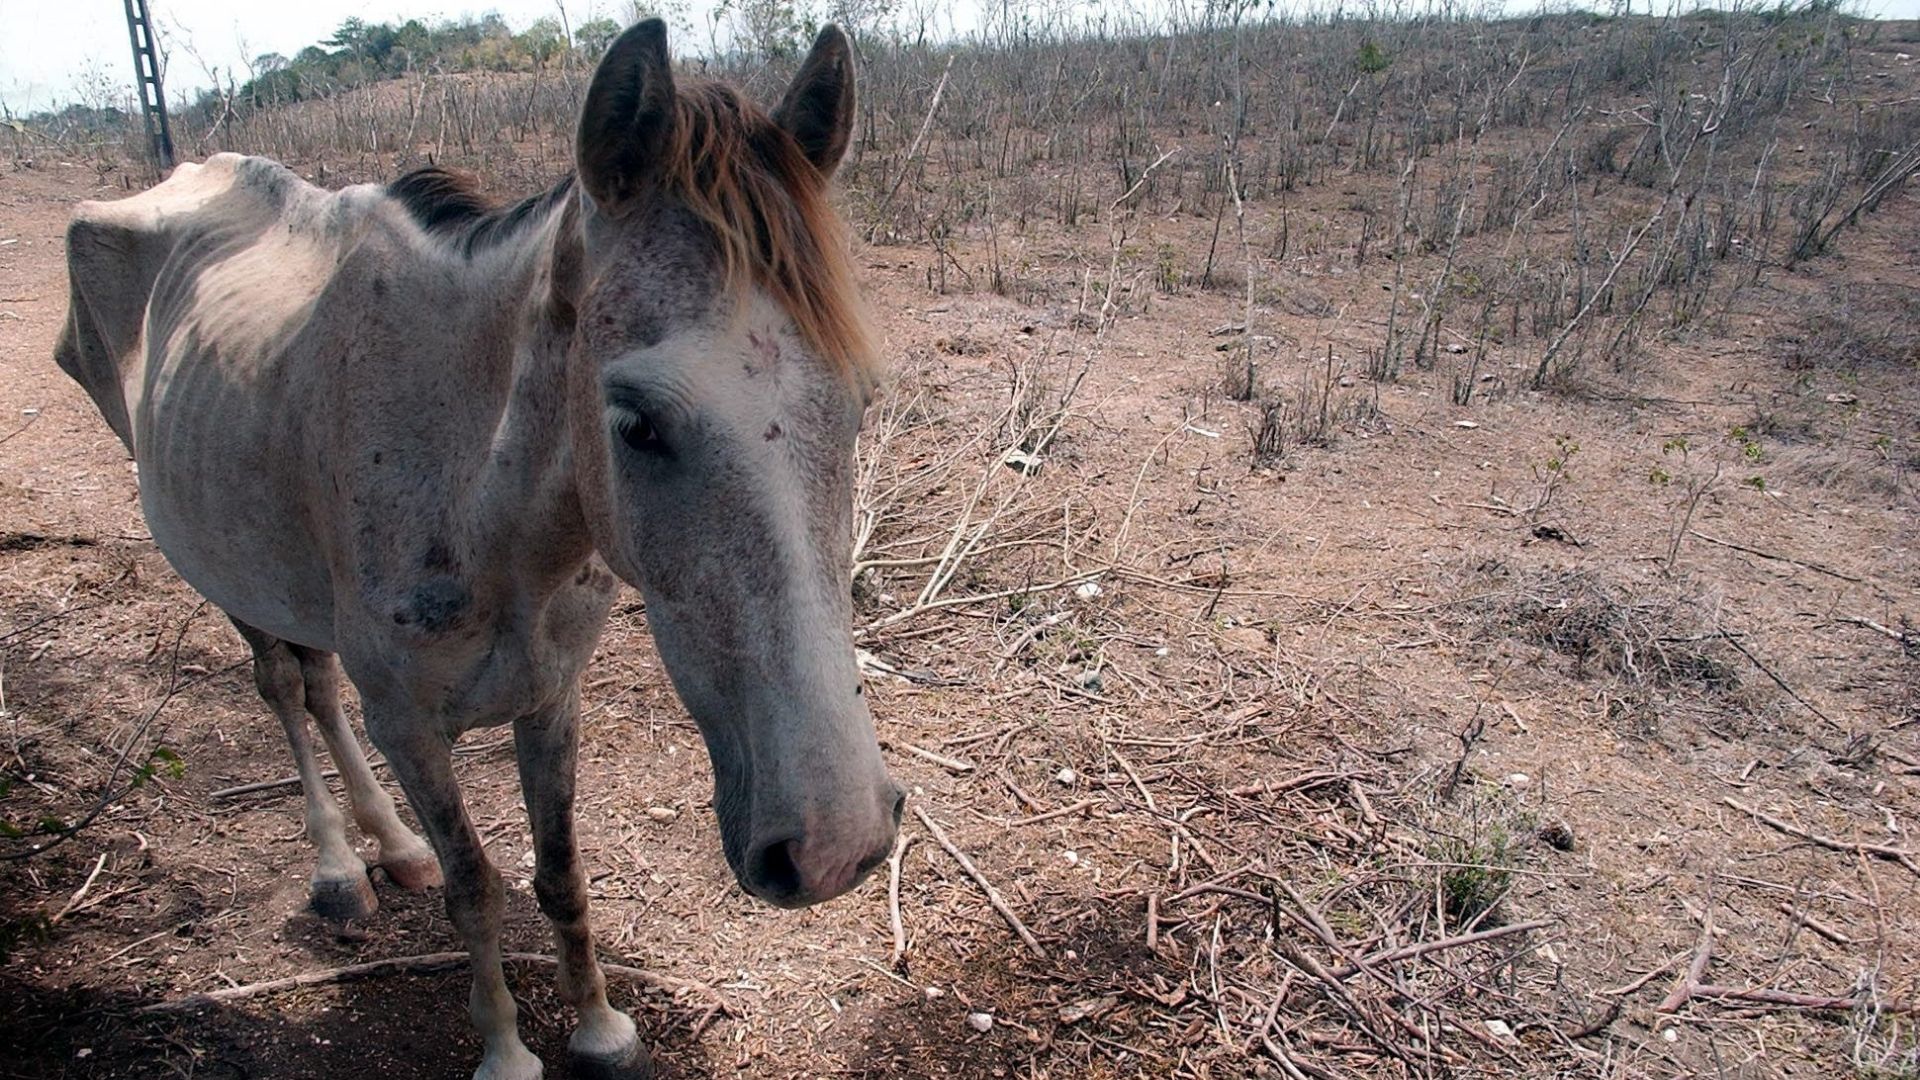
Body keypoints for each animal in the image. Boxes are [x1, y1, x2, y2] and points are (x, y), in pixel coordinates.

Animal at [56, 18, 898, 1076]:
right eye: (635, 423)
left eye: (860, 403)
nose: (837, 845)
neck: (486, 508)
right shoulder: (411, 727)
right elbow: (477, 886)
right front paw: (505, 1048)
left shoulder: (550, 697)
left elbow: (559, 872)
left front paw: (600, 1029)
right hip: (222, 569)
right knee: (286, 687)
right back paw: (341, 868)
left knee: (319, 686)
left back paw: (391, 847)